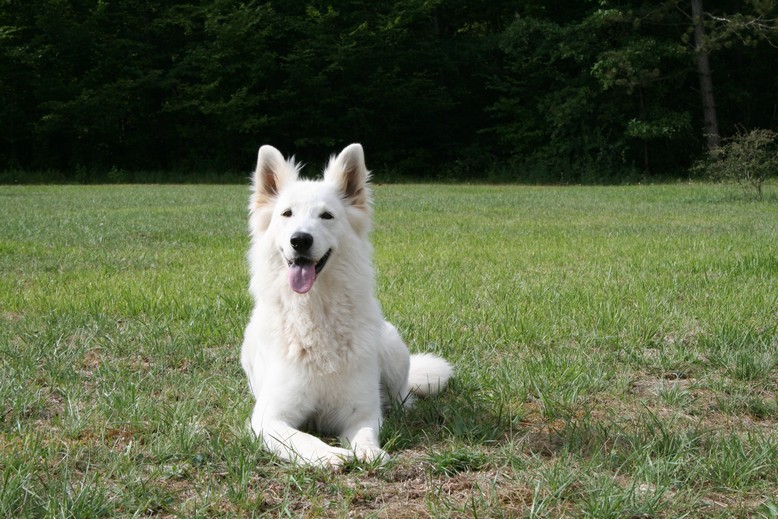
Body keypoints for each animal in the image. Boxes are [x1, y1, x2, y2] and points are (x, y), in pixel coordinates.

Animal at [239, 144, 452, 470]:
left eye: (327, 216)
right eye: (287, 214)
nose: (300, 240)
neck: (316, 315)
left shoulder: (360, 412)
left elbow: (365, 433)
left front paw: (367, 452)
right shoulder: (269, 418)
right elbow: (301, 439)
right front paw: (329, 455)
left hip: (391, 350)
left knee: (403, 397)